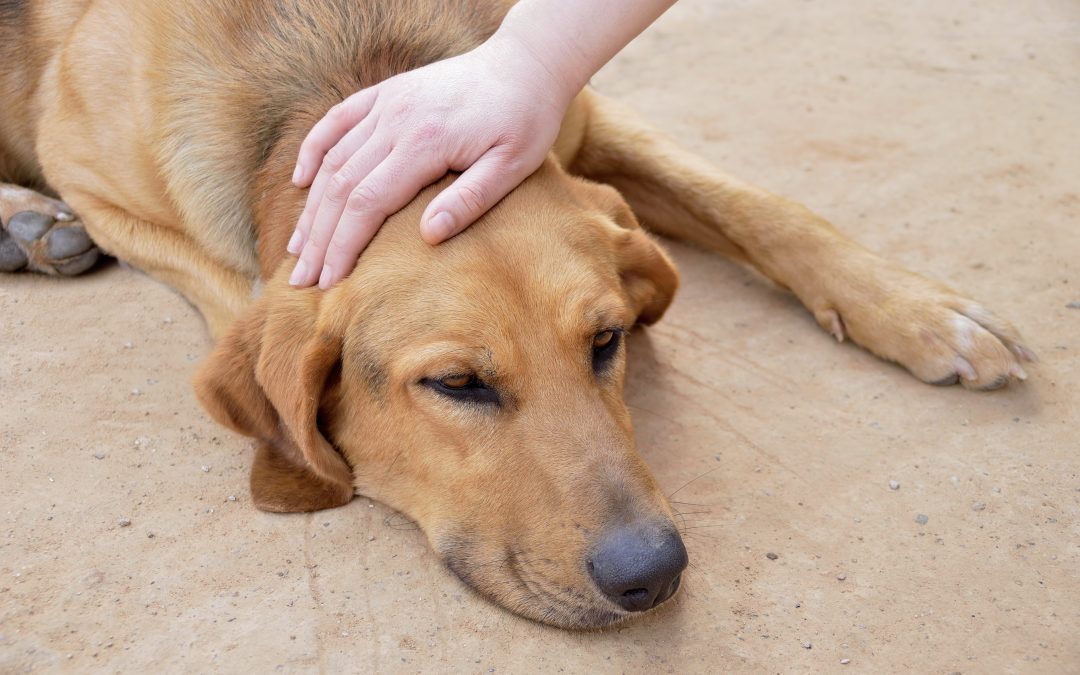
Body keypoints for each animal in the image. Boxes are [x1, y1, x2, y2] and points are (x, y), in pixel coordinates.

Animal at [0, 1, 1032, 630]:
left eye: (606, 342)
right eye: (457, 383)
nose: (653, 573)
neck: (354, 72)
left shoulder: (552, 113)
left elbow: (757, 204)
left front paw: (921, 310)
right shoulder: (98, 182)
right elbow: (241, 298)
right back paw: (27, 224)